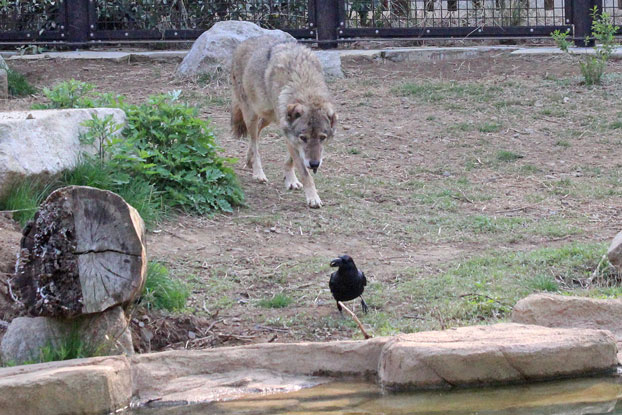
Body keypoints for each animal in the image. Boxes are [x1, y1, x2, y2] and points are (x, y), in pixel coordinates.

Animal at [232, 36, 338, 210]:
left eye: (322, 138)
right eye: (304, 138)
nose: (315, 164)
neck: (304, 82)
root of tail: (243, 42)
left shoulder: (289, 133)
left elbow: (291, 161)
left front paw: (291, 180)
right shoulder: (292, 137)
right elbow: (305, 173)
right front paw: (313, 198)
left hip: (268, 117)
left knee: (256, 135)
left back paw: (249, 160)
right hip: (251, 114)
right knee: (254, 141)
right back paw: (258, 173)